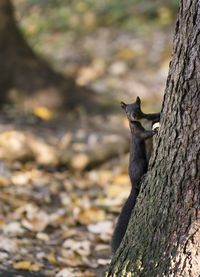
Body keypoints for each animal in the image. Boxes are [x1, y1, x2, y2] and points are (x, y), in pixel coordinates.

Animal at [111, 118, 156, 252]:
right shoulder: (137, 132)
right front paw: (155, 130)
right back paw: (142, 179)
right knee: (137, 183)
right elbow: (145, 134)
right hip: (139, 163)